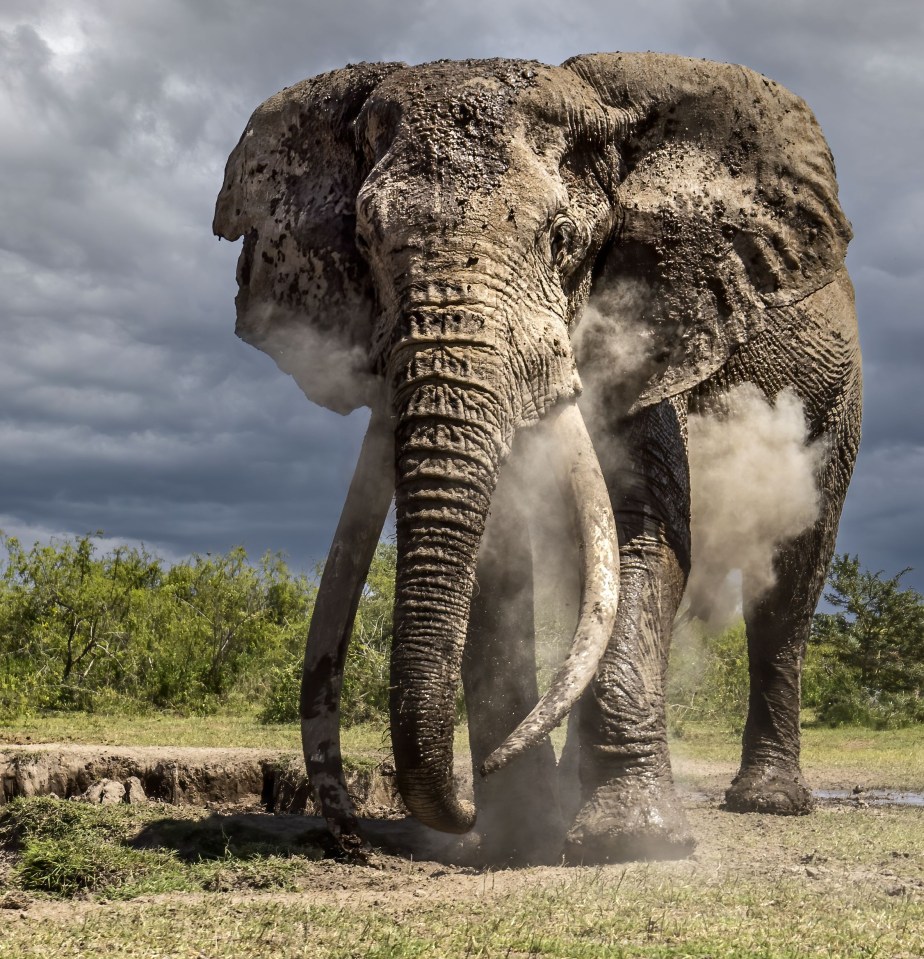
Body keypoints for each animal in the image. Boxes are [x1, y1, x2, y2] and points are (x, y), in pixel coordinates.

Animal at [215, 50, 860, 864]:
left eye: (563, 238)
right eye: (362, 239)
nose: (354, 838)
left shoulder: (653, 322)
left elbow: (644, 530)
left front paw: (627, 840)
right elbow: (497, 552)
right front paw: (519, 836)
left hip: (835, 402)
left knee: (789, 579)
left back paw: (767, 802)